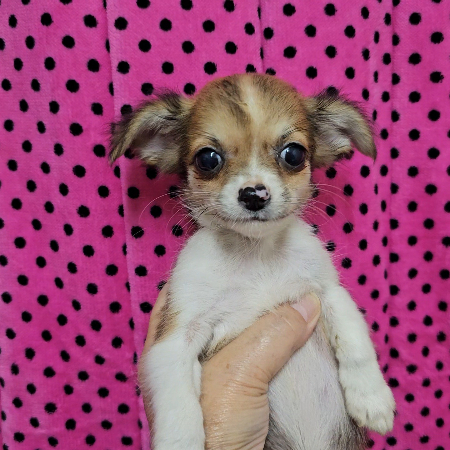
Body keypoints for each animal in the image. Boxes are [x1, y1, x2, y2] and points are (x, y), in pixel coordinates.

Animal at [110, 74, 395, 450]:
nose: (254, 194)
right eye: (207, 159)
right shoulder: (174, 337)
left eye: (293, 154)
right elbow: (177, 402)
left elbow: (355, 340)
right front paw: (180, 440)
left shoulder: (326, 291)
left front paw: (372, 399)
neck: (255, 255)